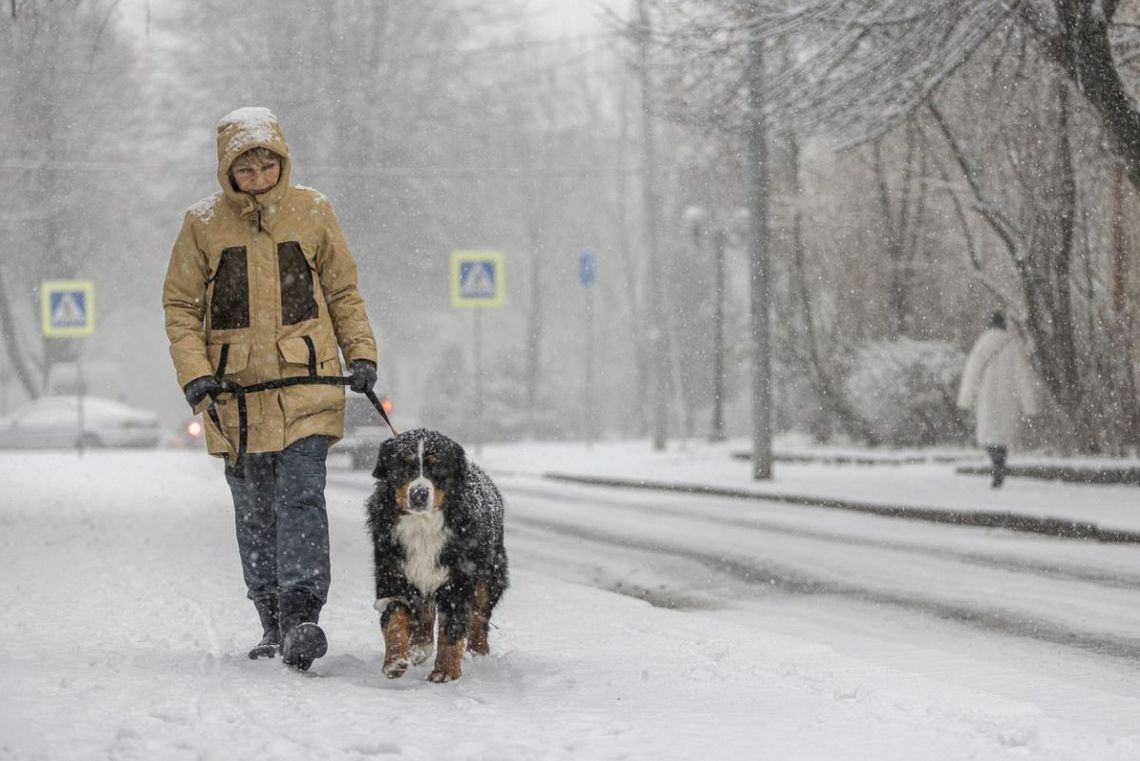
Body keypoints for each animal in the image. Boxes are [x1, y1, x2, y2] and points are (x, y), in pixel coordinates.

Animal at [364, 428, 508, 683]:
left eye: (437, 468)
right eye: (405, 466)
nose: (419, 493)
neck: (423, 527)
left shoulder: (459, 579)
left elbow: (451, 629)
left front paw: (445, 671)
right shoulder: (392, 573)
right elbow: (395, 617)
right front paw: (395, 659)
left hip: (489, 573)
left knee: (479, 615)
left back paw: (477, 651)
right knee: (425, 610)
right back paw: (420, 646)